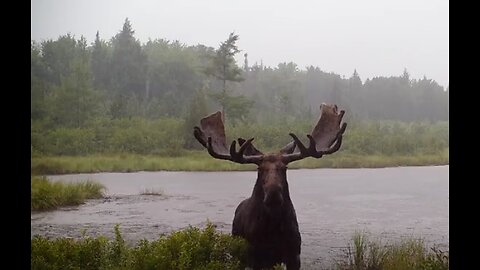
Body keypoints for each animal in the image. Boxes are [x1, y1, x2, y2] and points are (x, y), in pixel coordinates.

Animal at [193, 102, 346, 268]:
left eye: (284, 168)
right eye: (259, 169)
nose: (273, 194)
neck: (273, 226)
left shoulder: (294, 255)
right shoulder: (254, 257)